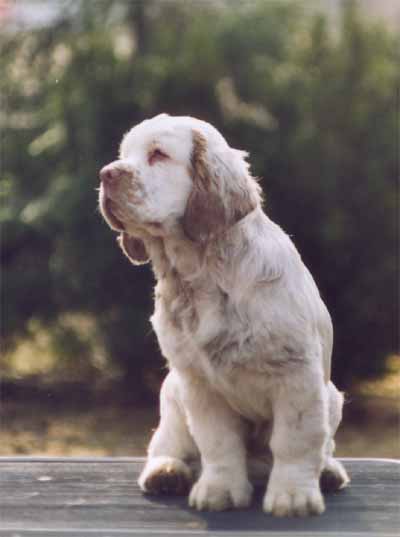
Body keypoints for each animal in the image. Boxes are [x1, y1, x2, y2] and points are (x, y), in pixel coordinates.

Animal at [98, 114, 349, 516]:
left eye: (158, 154)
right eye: (123, 155)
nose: (106, 174)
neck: (201, 276)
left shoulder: (297, 374)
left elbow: (295, 440)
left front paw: (292, 496)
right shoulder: (198, 382)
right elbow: (218, 441)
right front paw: (219, 490)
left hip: (333, 397)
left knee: (322, 445)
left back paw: (327, 472)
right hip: (171, 392)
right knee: (165, 443)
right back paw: (165, 473)